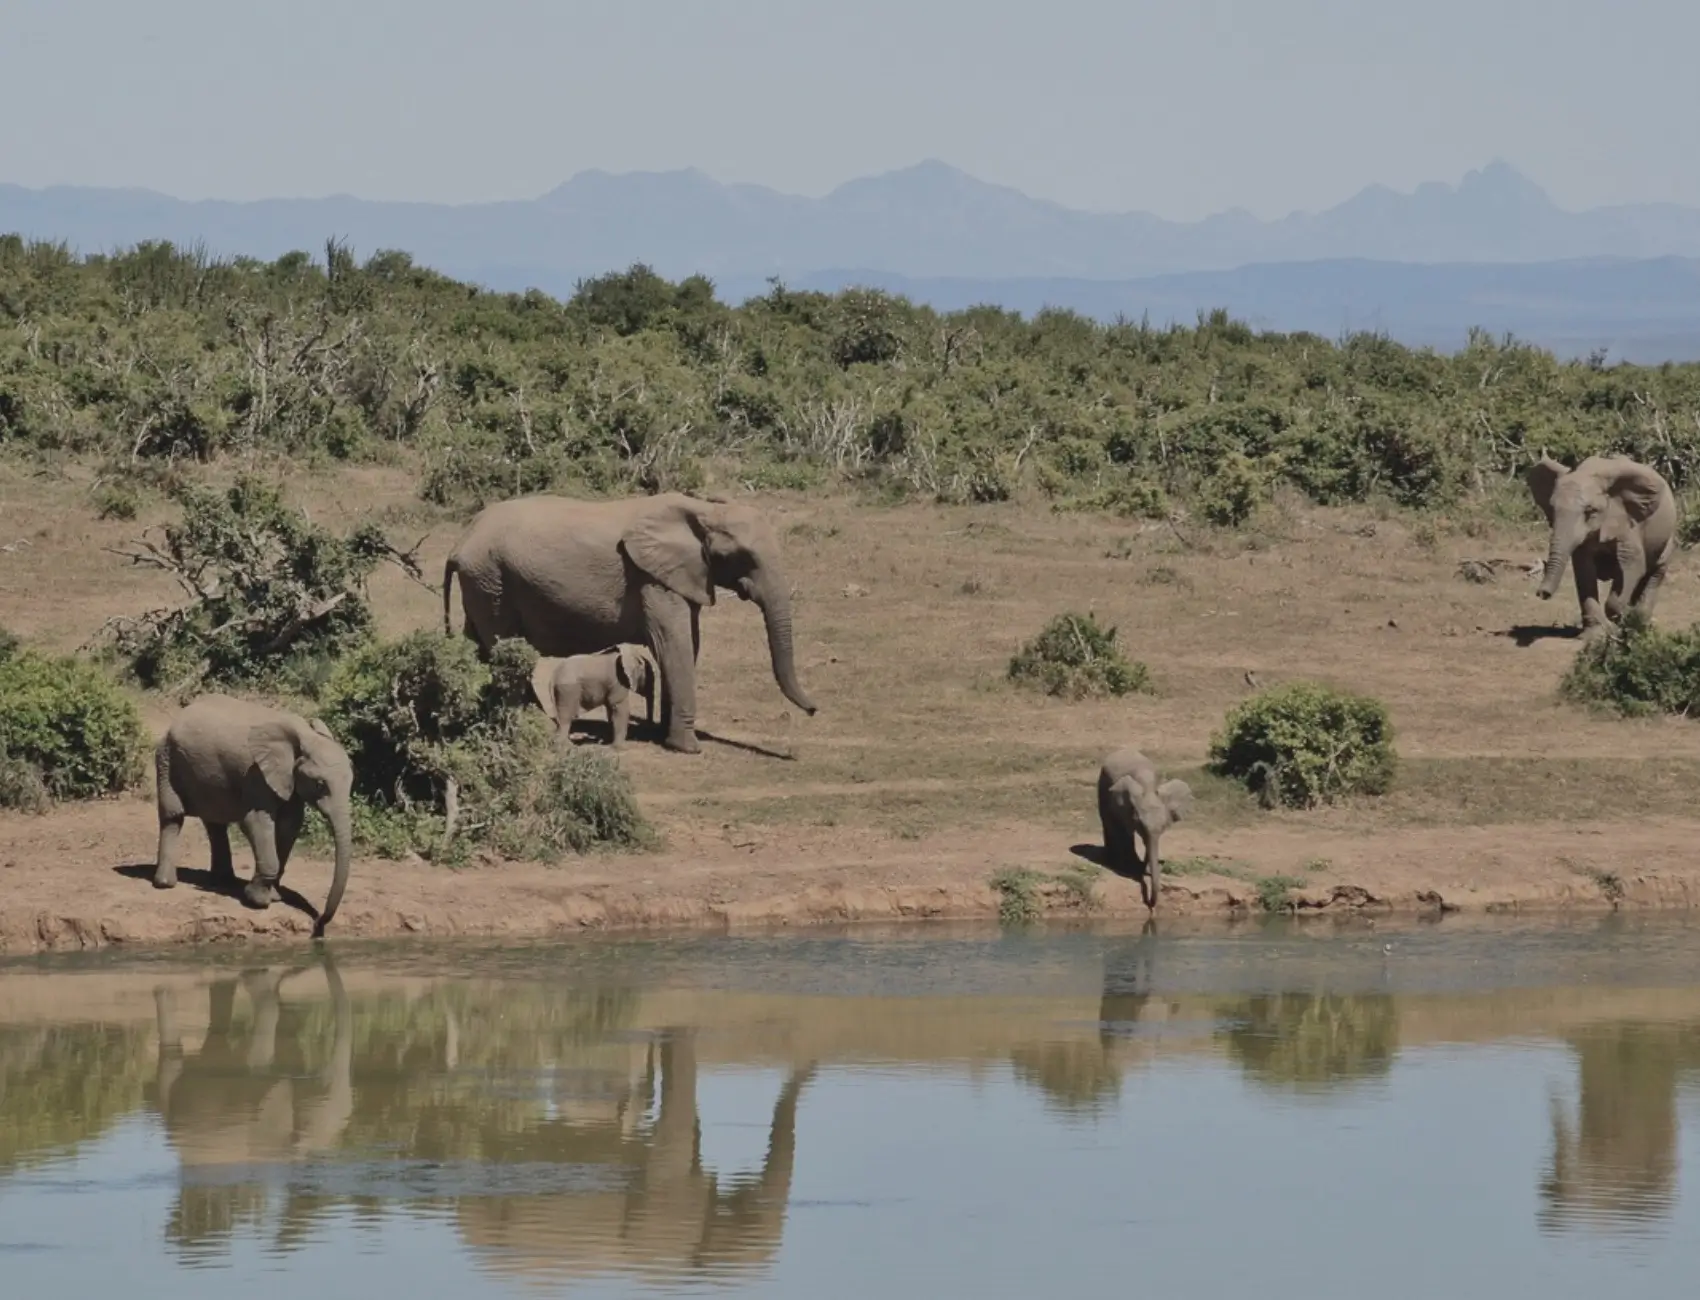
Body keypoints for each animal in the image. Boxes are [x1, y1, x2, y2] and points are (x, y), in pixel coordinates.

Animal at [153, 694, 353, 936]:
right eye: (320, 784)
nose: (318, 925)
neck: (304, 736)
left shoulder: (288, 780)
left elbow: (289, 826)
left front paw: (274, 897)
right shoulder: (256, 773)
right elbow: (255, 822)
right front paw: (258, 901)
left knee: (215, 822)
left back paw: (223, 882)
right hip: (167, 758)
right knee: (173, 816)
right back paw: (165, 884)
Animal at [442, 491, 817, 754]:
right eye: (742, 557)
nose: (814, 710)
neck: (702, 510)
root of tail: (460, 541)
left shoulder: (681, 576)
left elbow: (688, 645)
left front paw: (664, 736)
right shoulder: (652, 579)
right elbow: (674, 644)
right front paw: (688, 748)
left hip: (482, 584)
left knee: (479, 647)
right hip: (492, 579)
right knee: (504, 650)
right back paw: (532, 725)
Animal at [1097, 746, 1194, 910]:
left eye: (1163, 827)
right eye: (1140, 825)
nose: (1150, 904)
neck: (1148, 787)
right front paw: (1128, 869)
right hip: (1101, 786)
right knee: (1110, 823)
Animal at [1525, 454, 1678, 631]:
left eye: (1590, 511)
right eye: (1551, 508)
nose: (1542, 594)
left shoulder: (1627, 523)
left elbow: (1634, 566)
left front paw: (1618, 616)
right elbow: (1584, 570)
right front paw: (1596, 632)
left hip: (1668, 536)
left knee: (1656, 573)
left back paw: (1639, 624)